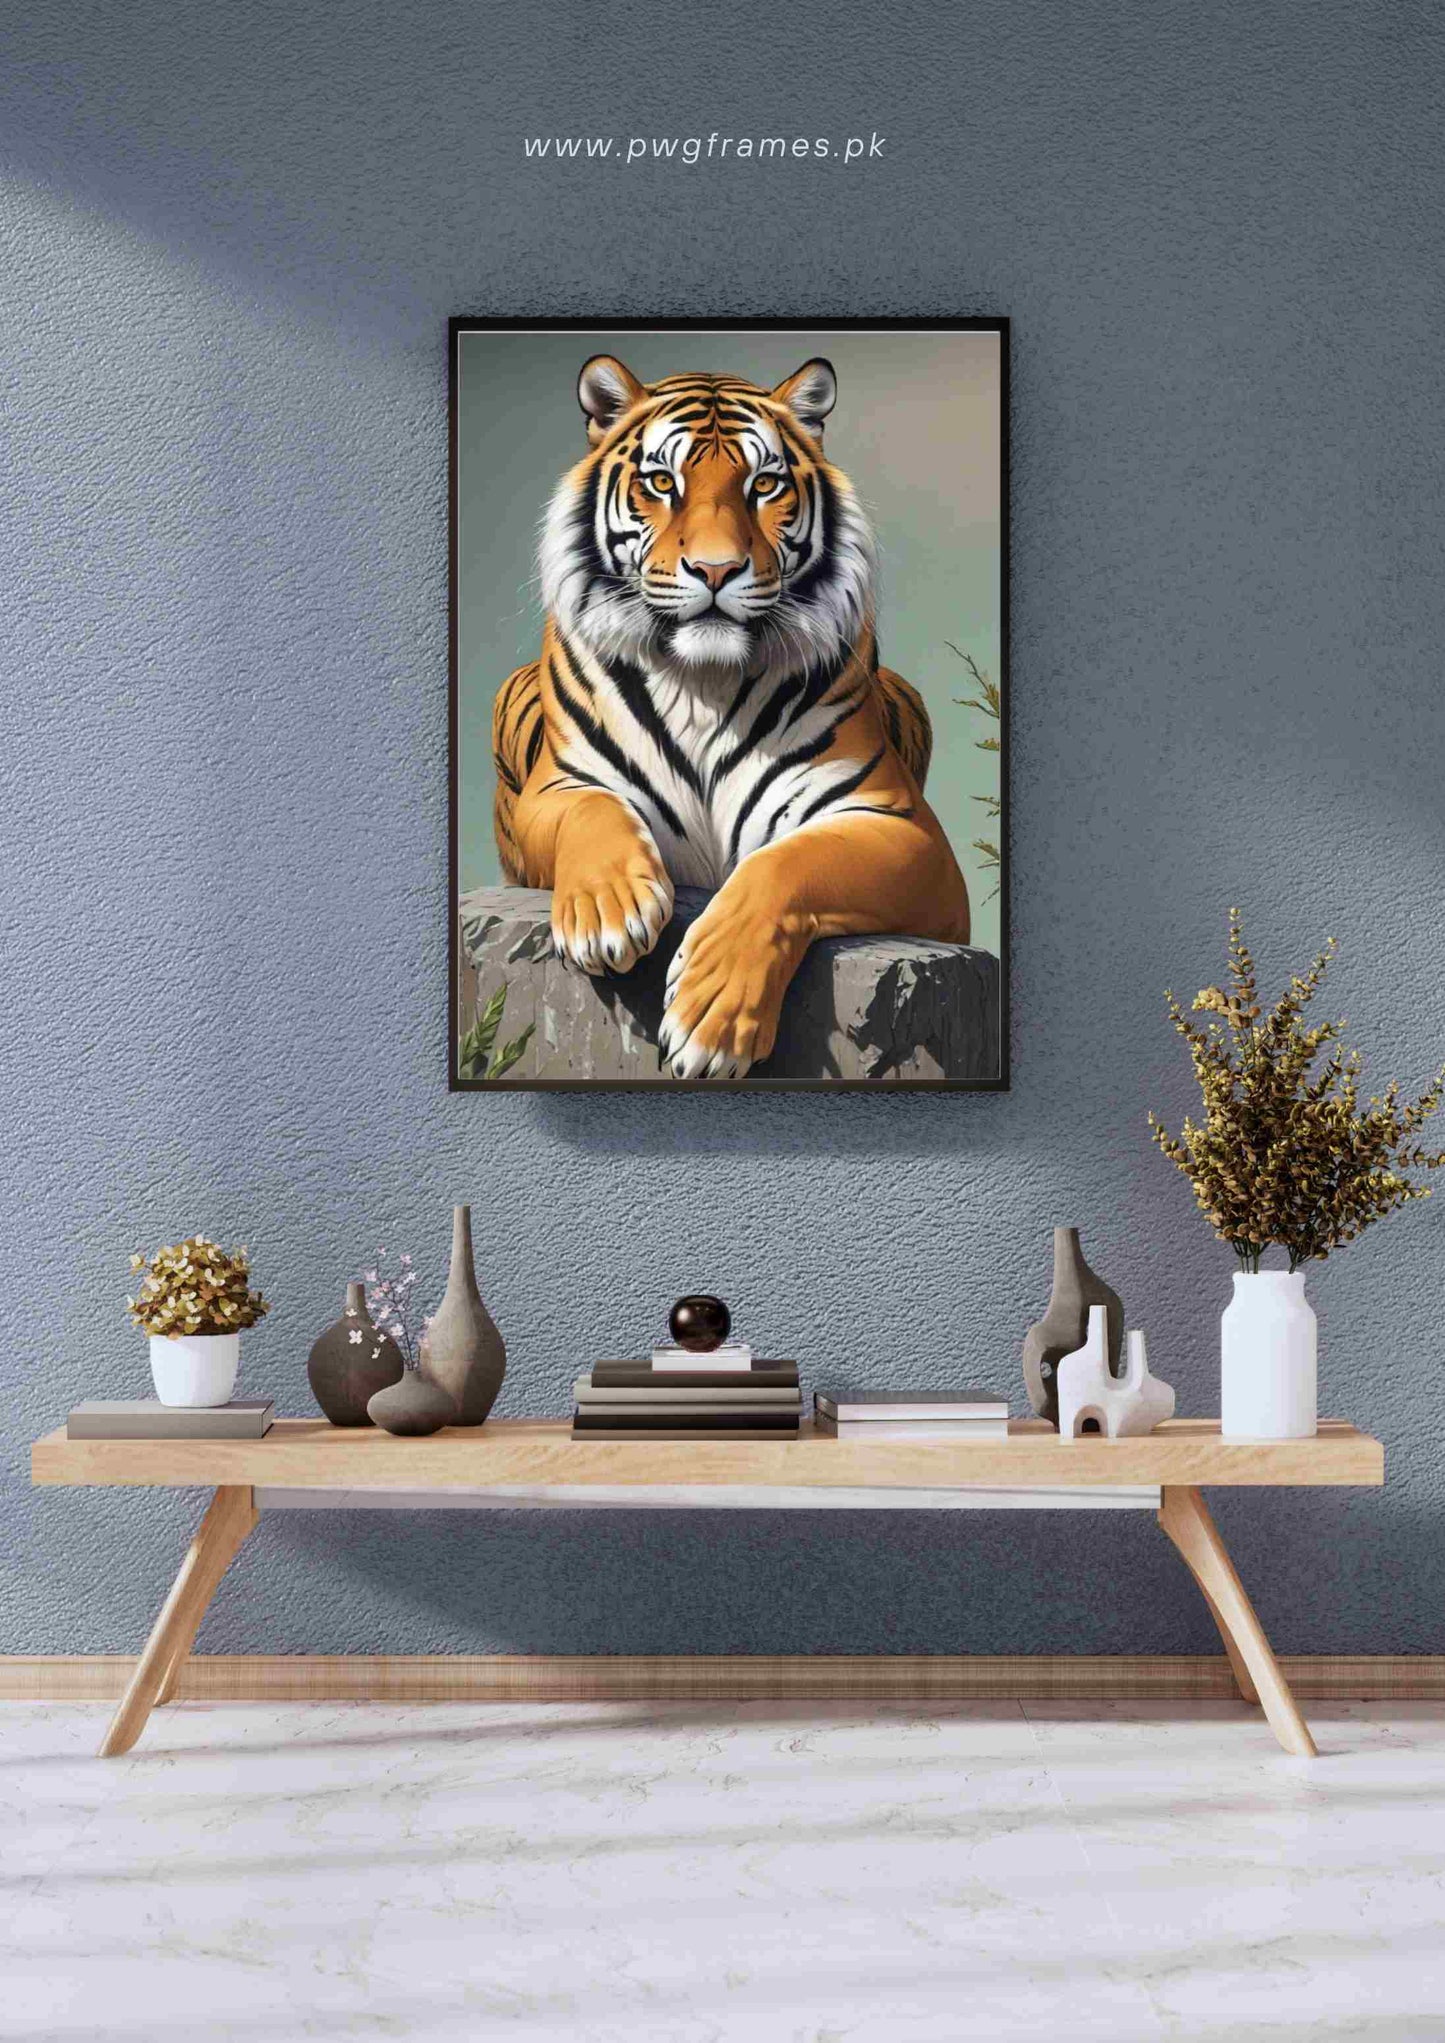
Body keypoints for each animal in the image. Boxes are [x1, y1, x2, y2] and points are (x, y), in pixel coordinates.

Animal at [490, 352, 972, 1080]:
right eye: (662, 482)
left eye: (764, 484)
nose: (715, 570)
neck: (703, 682)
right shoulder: (556, 789)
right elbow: (594, 809)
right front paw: (607, 913)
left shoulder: (905, 830)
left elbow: (789, 863)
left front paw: (711, 1018)